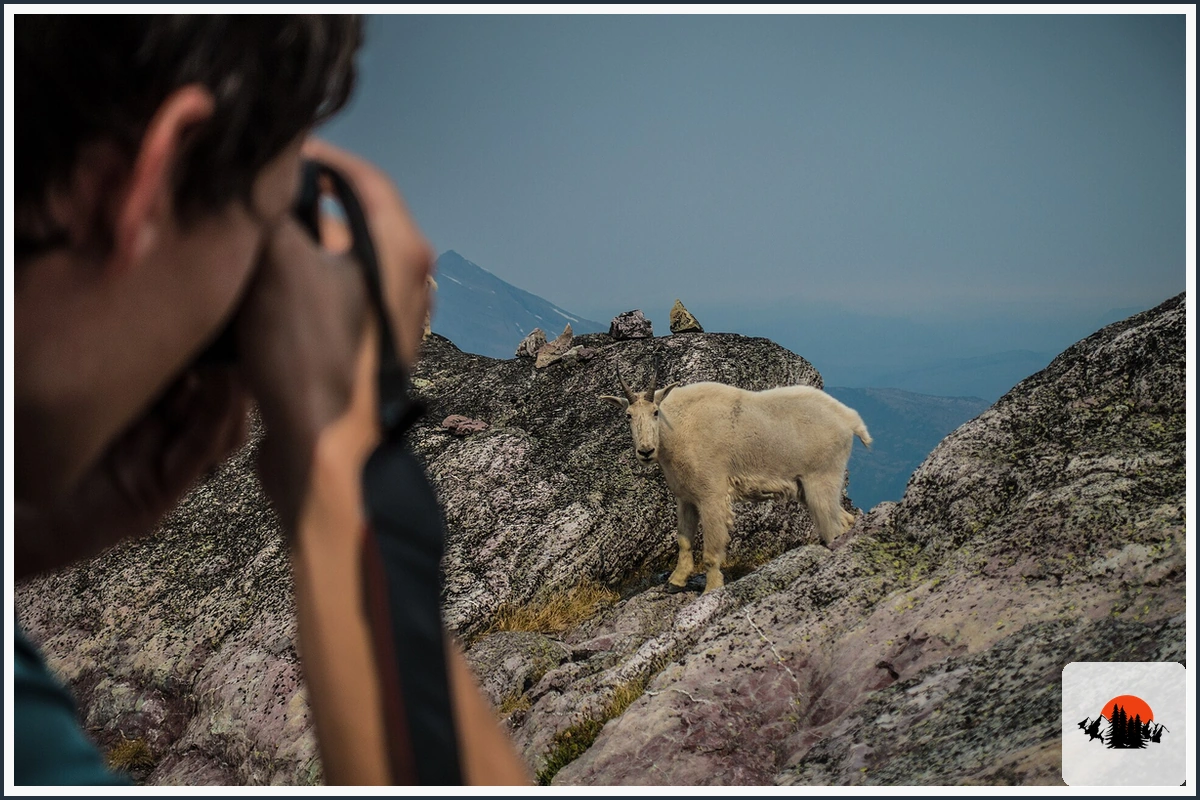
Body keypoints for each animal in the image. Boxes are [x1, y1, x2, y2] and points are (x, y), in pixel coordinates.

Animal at [601, 366, 871, 594]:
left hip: (822, 478)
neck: (677, 428)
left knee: (832, 525)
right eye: (628, 415)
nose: (645, 451)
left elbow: (711, 550)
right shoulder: (685, 498)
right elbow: (684, 540)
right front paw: (675, 582)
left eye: (655, 412)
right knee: (844, 519)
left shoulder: (712, 495)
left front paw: (711, 589)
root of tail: (850, 419)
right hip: (807, 487)